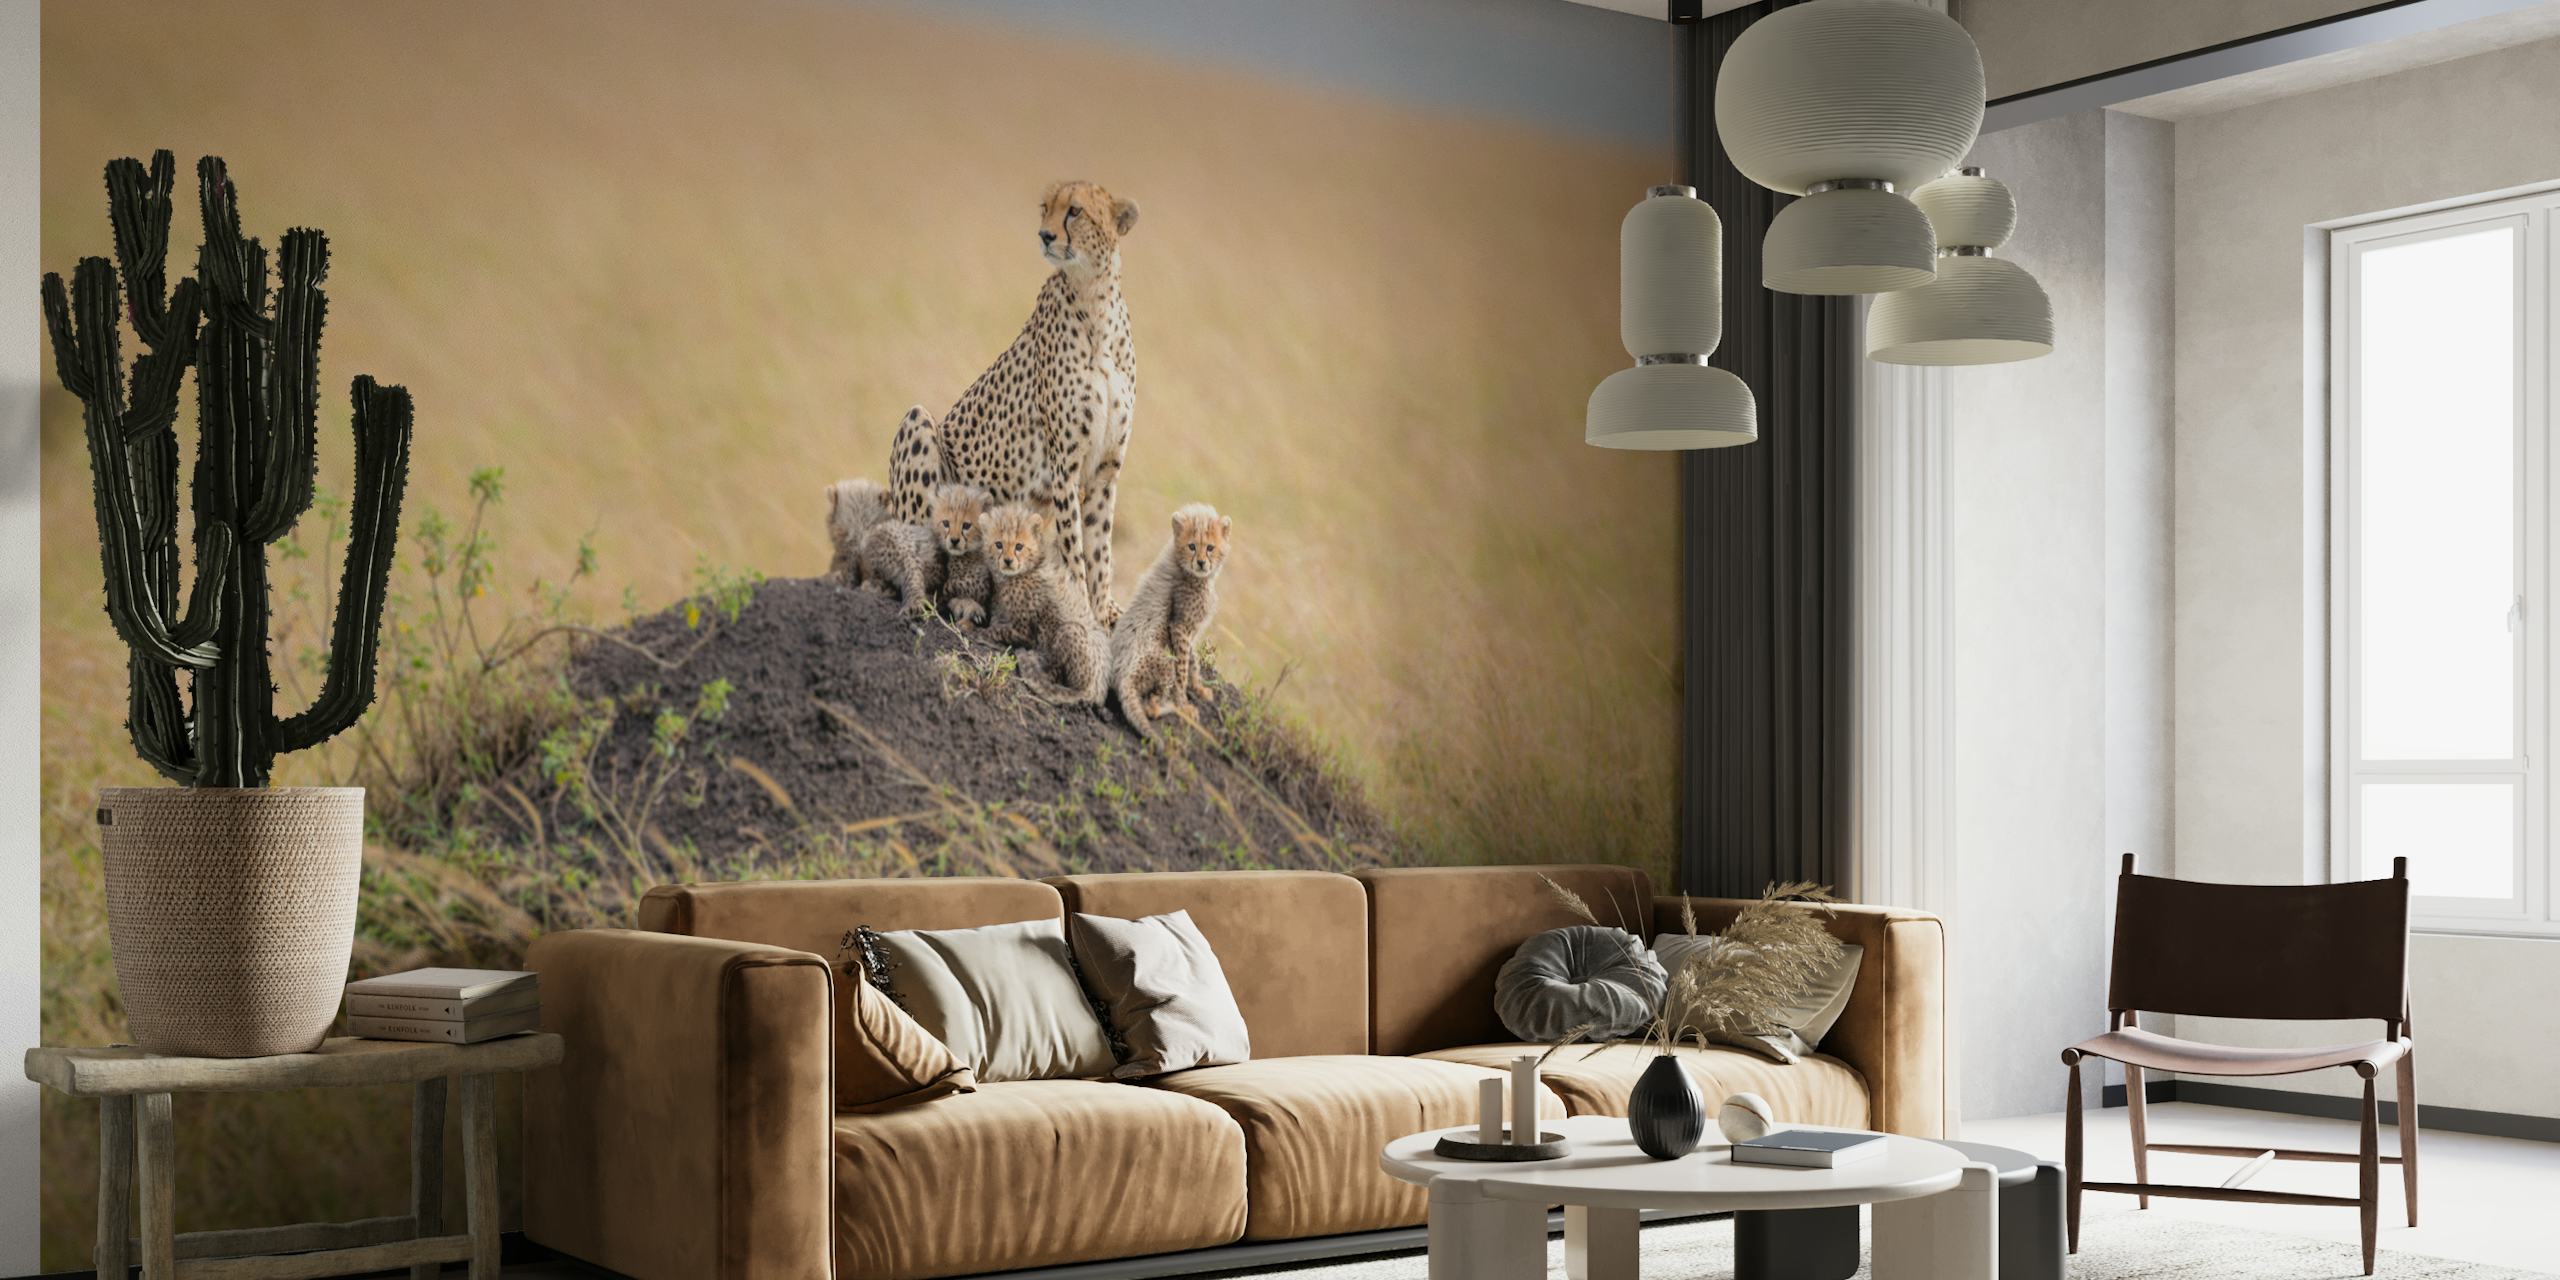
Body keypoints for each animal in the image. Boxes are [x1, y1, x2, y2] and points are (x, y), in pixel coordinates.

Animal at [888, 180, 1139, 629]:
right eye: (1045, 207)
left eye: (1075, 211)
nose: (1045, 235)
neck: (1095, 299)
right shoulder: (1064, 469)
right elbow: (1075, 547)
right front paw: (1081, 607)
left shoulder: (1105, 470)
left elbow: (1100, 549)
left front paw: (1103, 609)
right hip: (918, 424)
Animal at [1108, 503, 1229, 737]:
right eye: (1192, 546)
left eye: (1210, 548)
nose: (1201, 563)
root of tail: (1122, 675)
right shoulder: (1179, 626)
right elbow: (1183, 668)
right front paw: (1184, 702)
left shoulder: (1188, 631)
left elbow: (1192, 661)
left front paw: (1199, 688)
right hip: (1163, 662)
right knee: (1151, 707)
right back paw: (1176, 709)